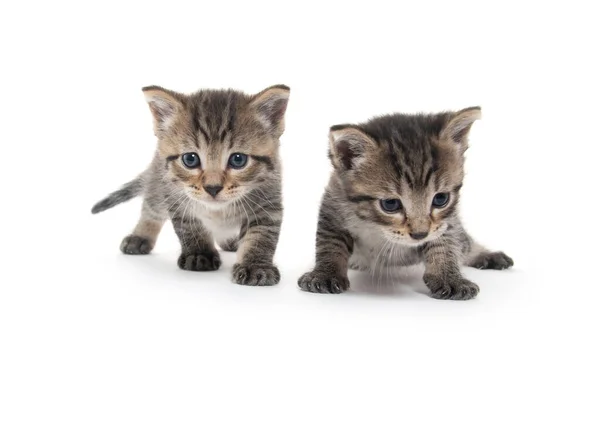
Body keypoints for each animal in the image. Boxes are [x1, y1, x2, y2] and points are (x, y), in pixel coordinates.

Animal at [91, 83, 290, 284]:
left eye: (238, 160)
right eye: (190, 159)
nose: (212, 188)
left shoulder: (268, 202)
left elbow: (261, 236)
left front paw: (255, 265)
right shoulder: (177, 199)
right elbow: (190, 227)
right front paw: (200, 253)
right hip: (158, 184)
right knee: (150, 209)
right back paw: (140, 236)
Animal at [298, 106, 512, 298]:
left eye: (440, 199)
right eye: (390, 204)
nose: (420, 234)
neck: (377, 228)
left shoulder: (447, 222)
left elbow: (446, 243)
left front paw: (449, 277)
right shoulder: (332, 206)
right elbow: (330, 243)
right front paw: (325, 273)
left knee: (465, 243)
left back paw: (487, 255)